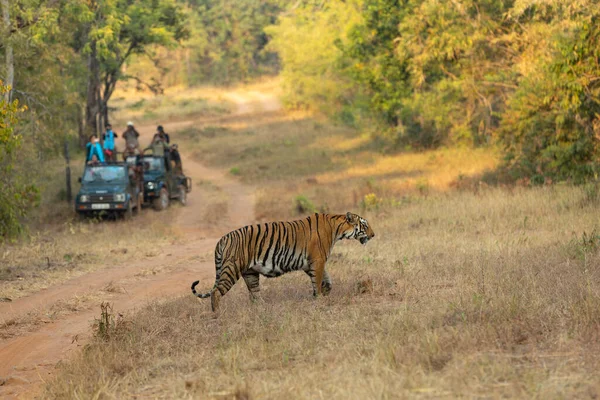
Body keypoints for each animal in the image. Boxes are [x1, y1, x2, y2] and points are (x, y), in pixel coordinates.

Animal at [191, 211, 376, 310]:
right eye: (365, 225)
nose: (373, 235)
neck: (337, 228)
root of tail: (222, 239)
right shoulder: (317, 260)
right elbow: (318, 281)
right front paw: (319, 298)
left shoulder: (310, 263)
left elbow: (326, 279)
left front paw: (326, 291)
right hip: (232, 268)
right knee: (216, 292)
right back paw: (217, 315)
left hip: (250, 273)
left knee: (255, 295)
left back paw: (263, 309)